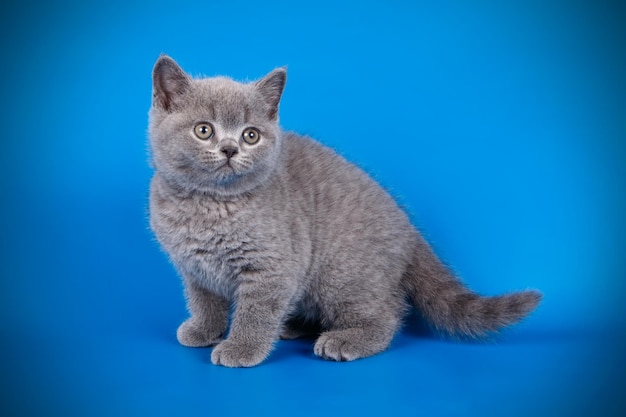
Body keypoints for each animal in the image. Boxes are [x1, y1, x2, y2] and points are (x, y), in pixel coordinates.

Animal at [149, 55, 540, 368]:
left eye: (250, 135)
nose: (230, 149)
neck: (210, 205)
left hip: (340, 274)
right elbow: (205, 302)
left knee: (389, 313)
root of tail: (409, 230)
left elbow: (255, 312)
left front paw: (242, 348)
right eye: (204, 130)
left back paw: (345, 339)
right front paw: (205, 330)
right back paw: (293, 325)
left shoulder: (272, 268)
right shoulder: (194, 269)